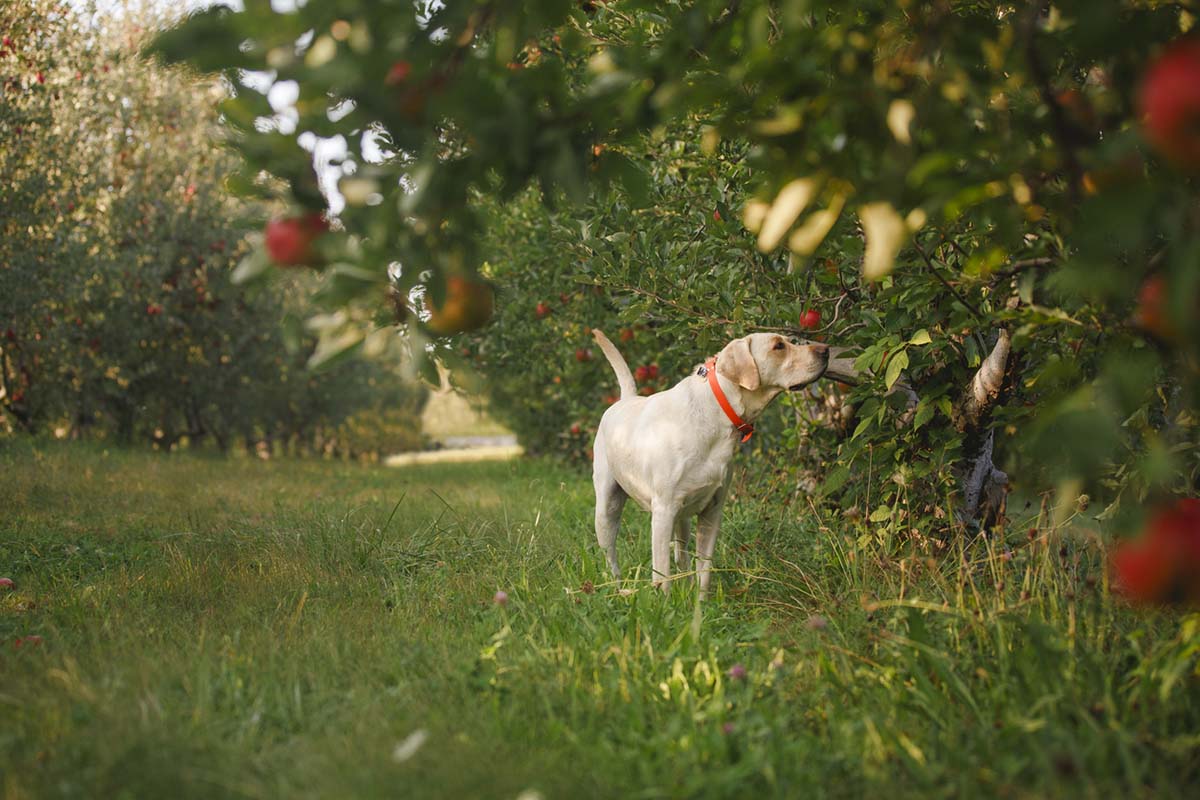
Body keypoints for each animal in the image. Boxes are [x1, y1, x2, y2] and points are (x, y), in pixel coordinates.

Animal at [588, 328, 825, 597]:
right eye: (778, 346)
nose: (826, 350)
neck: (716, 412)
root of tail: (624, 400)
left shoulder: (712, 512)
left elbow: (704, 572)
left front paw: (701, 603)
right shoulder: (663, 511)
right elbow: (662, 573)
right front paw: (664, 602)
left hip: (682, 520)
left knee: (681, 556)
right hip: (607, 510)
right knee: (611, 557)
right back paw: (616, 590)